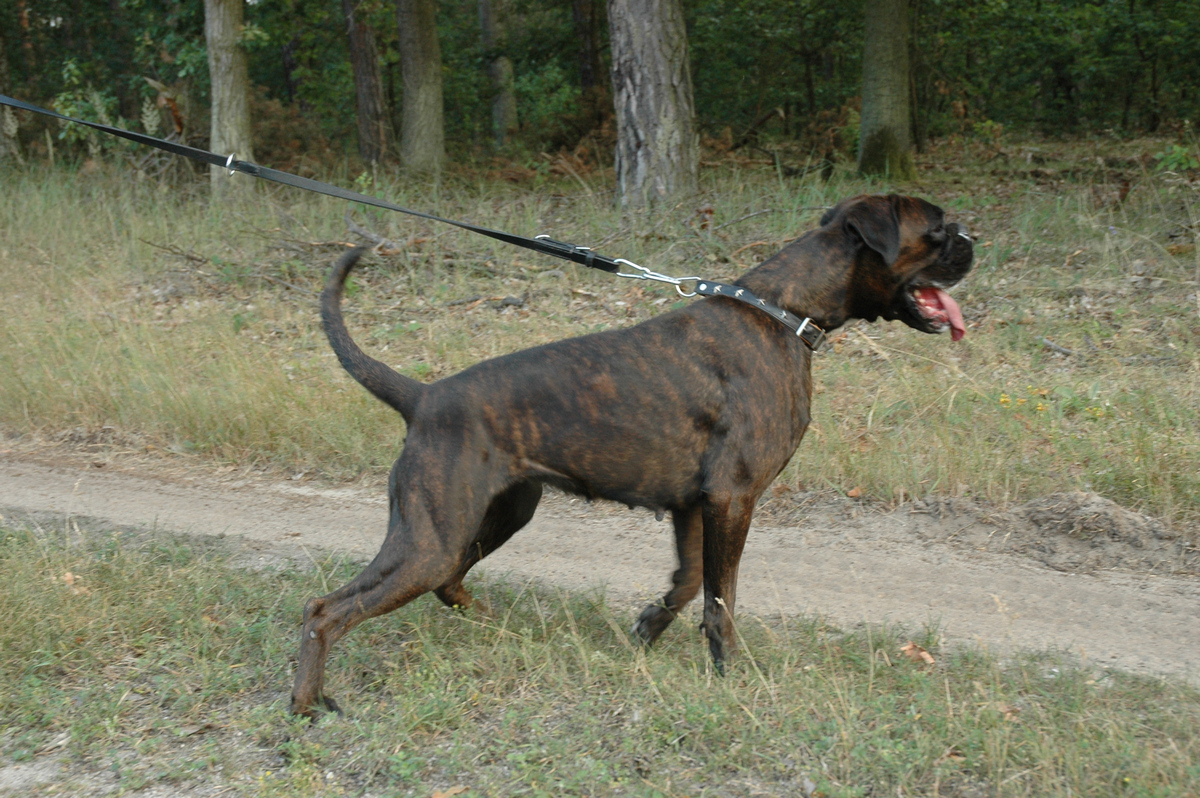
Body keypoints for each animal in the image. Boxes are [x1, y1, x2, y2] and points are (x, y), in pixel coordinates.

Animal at [290, 193, 974, 716]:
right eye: (937, 230)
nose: (974, 239)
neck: (784, 312)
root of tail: (424, 397)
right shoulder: (733, 497)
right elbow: (721, 597)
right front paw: (728, 670)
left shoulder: (696, 504)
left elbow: (690, 580)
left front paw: (649, 626)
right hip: (432, 537)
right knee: (327, 609)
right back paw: (306, 706)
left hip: (498, 515)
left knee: (447, 583)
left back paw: (492, 623)